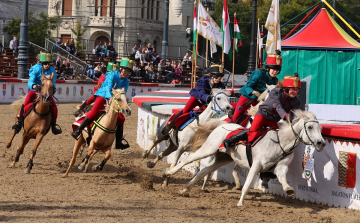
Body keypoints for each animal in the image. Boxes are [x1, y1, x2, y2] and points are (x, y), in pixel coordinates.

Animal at [162, 110, 326, 206]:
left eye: (320, 128)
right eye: (310, 127)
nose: (321, 143)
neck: (279, 142)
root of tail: (220, 125)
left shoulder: (280, 167)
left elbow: (283, 178)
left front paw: (288, 189)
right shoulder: (256, 165)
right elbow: (246, 184)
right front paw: (240, 202)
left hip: (222, 158)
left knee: (203, 171)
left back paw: (185, 189)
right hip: (208, 149)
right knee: (187, 160)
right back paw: (168, 173)